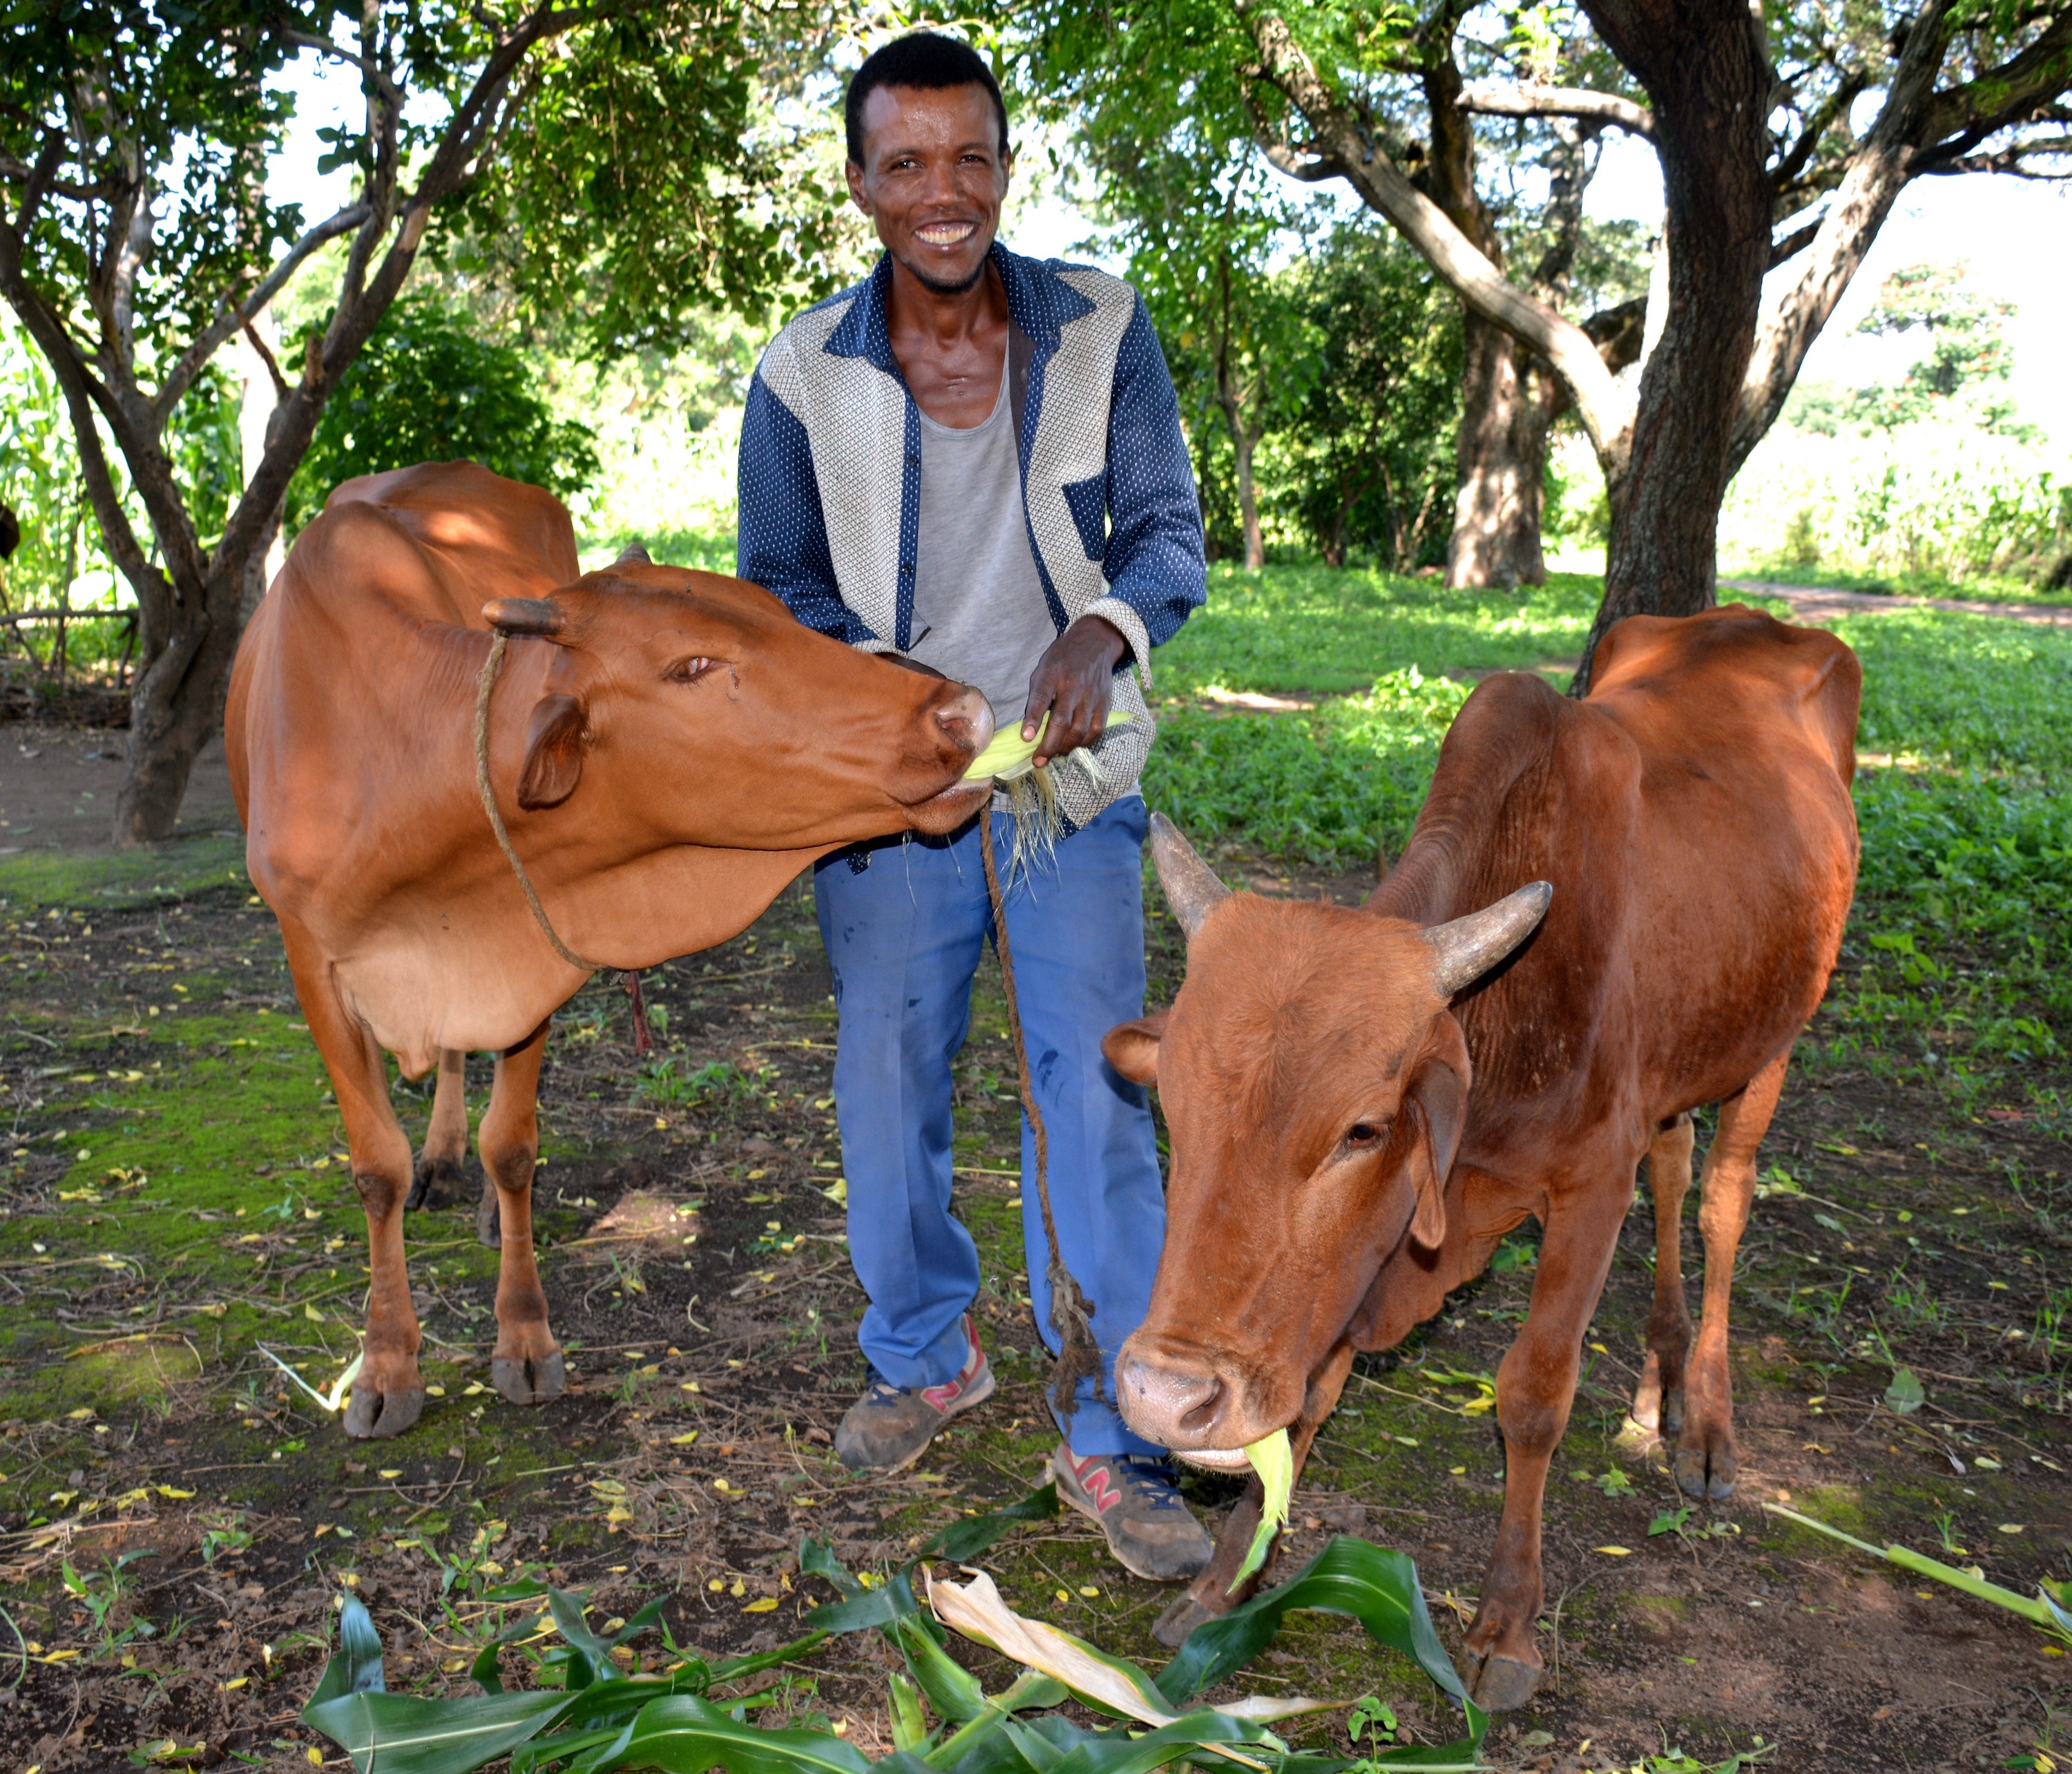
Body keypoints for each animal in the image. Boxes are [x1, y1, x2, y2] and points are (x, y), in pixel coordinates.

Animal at [227, 460, 995, 1442]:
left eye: (777, 613)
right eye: (691, 666)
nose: (961, 710)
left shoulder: (531, 953)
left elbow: (513, 1146)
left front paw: (523, 1336)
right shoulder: (311, 965)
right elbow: (375, 1171)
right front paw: (388, 1361)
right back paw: (439, 1157)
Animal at [1102, 605, 1865, 1708]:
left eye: (1363, 1130)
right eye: (1173, 1106)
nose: (1166, 1400)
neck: (1512, 1009)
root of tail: (1757, 622)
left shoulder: (1590, 1186)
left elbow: (1534, 1397)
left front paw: (1509, 1626)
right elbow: (1313, 1391)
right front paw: (1226, 1580)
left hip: (1774, 1044)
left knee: (1724, 1197)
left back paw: (1709, 1427)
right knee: (1676, 1168)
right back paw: (1656, 1394)